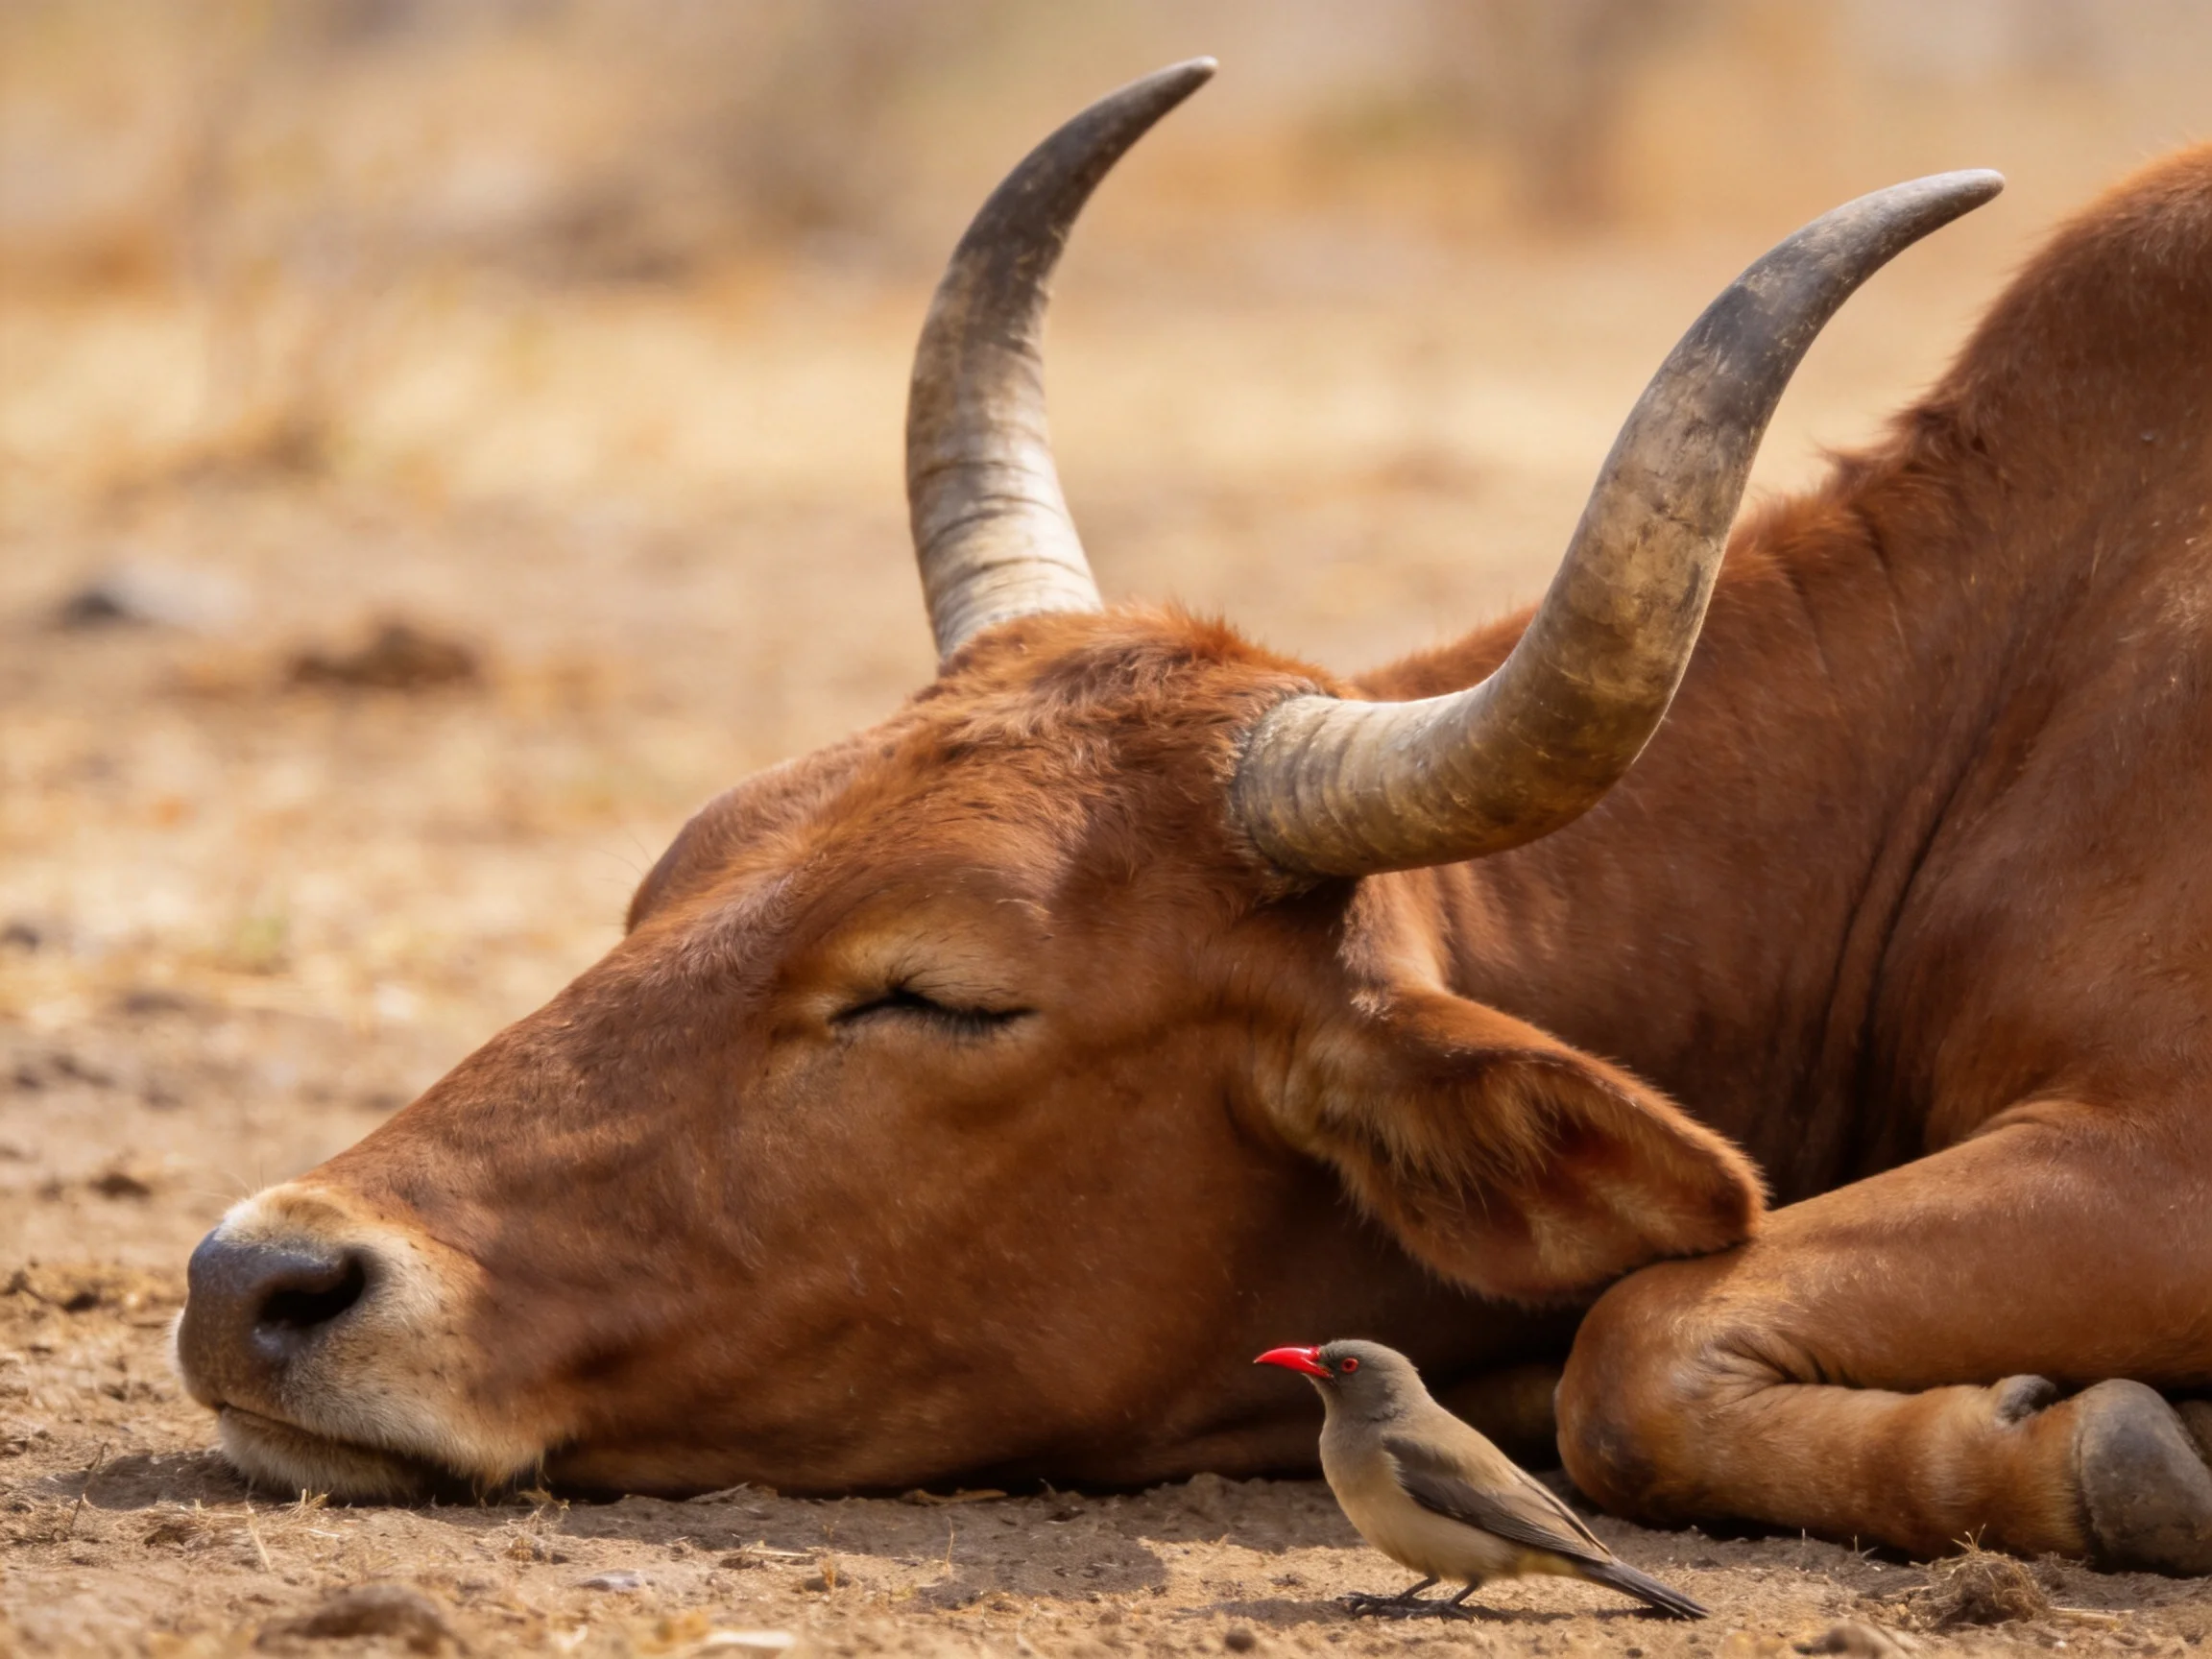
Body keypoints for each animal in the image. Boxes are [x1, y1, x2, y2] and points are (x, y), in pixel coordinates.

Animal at [174, 61, 2212, 1573]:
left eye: (941, 992)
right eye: (661, 882)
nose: (262, 1276)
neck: (1989, 696)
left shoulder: (2159, 1156)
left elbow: (1625, 1352)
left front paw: (2099, 1449)